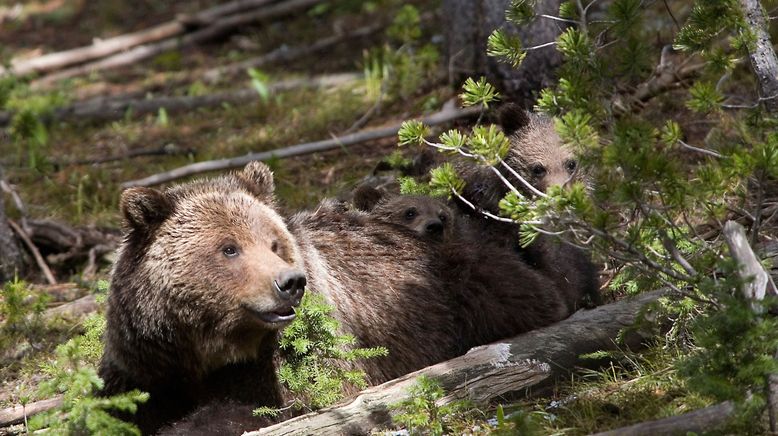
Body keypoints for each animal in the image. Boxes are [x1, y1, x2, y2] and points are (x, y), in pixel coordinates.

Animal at [100, 163, 568, 432]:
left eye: (274, 243)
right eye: (229, 248)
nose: (290, 282)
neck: (208, 347)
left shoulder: (303, 351)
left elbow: (298, 402)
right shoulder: (146, 363)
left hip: (460, 287)